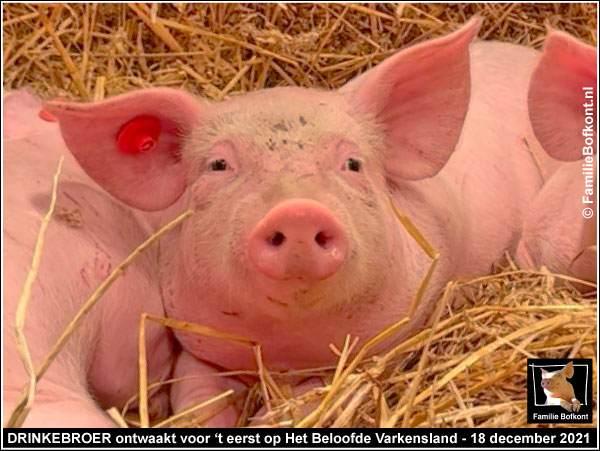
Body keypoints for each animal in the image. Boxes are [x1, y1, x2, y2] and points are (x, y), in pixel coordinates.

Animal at [5, 17, 564, 428]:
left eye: (353, 163)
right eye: (219, 165)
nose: (297, 211)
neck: (281, 349)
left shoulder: (377, 344)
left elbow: (306, 402)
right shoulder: (195, 337)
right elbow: (198, 397)